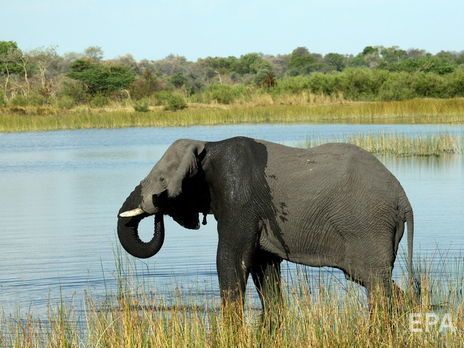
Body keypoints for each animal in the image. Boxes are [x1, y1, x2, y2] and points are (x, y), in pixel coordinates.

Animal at [117, 135, 416, 312]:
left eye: (162, 180)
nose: (156, 202)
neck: (209, 145)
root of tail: (403, 199)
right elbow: (265, 268)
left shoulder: (239, 199)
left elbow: (229, 259)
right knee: (370, 279)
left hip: (367, 225)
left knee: (374, 281)